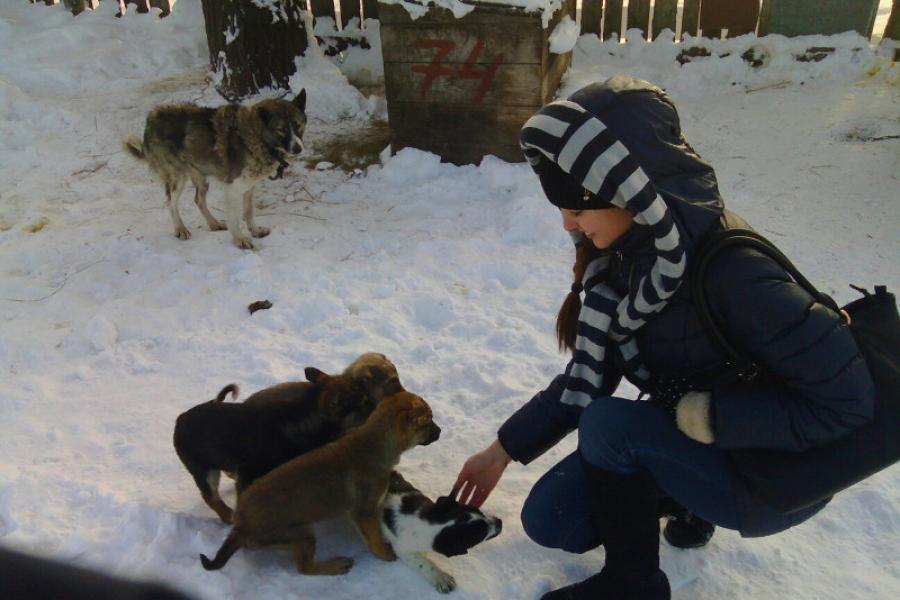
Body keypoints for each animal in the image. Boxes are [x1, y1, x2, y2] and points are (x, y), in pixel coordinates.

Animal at [123, 89, 308, 248]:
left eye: (298, 125)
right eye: (281, 130)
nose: (298, 148)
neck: (257, 138)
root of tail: (151, 118)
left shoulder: (249, 186)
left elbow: (248, 212)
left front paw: (254, 231)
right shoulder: (233, 188)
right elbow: (235, 218)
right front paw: (240, 240)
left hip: (201, 177)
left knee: (198, 199)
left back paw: (213, 223)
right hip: (178, 178)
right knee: (170, 202)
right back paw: (180, 229)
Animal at [172, 366, 370, 524]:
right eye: (362, 403)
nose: (371, 402)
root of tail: (180, 419)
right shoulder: (248, 473)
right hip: (203, 470)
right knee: (210, 497)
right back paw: (228, 516)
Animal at [203, 392, 442, 576]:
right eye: (428, 420)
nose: (440, 432)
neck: (375, 443)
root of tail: (240, 527)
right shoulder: (364, 512)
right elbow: (373, 537)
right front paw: (384, 553)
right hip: (302, 534)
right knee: (304, 568)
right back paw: (336, 566)